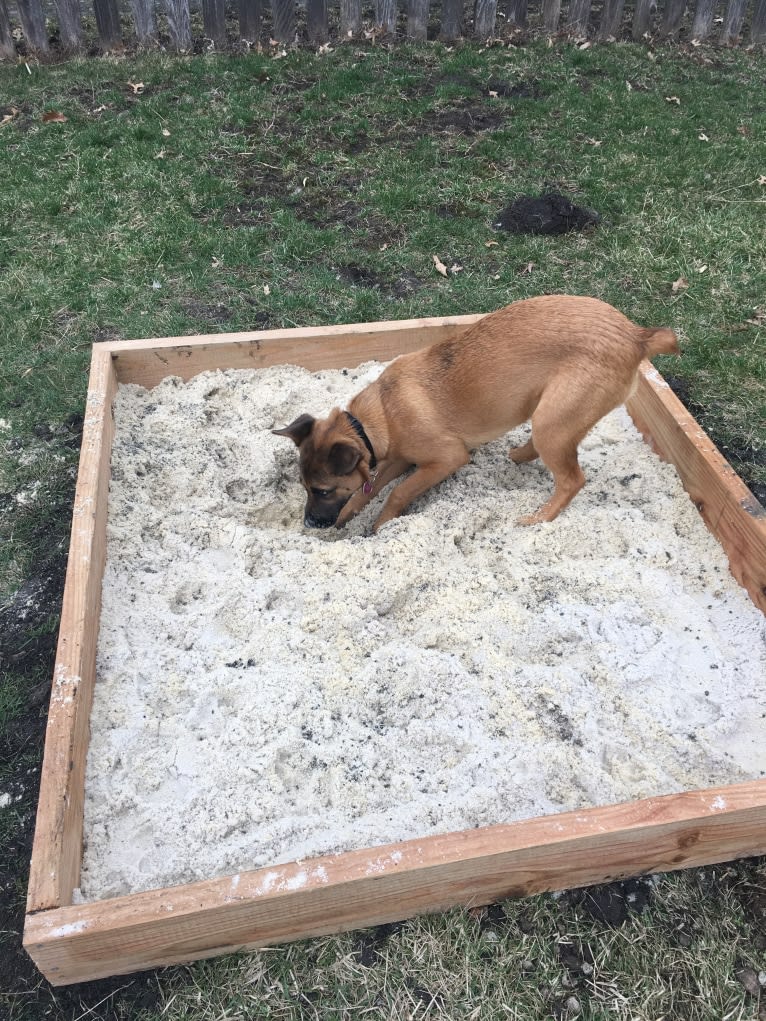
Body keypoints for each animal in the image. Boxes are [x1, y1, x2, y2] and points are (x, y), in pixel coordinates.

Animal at [271, 294, 678, 530]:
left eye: (322, 490)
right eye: (306, 488)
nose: (309, 523)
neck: (377, 417)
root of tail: (636, 336)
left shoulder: (445, 459)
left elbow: (397, 493)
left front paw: (382, 527)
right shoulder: (397, 458)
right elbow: (367, 490)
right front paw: (349, 515)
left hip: (553, 422)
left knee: (572, 480)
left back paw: (538, 519)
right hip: (551, 415)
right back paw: (517, 456)